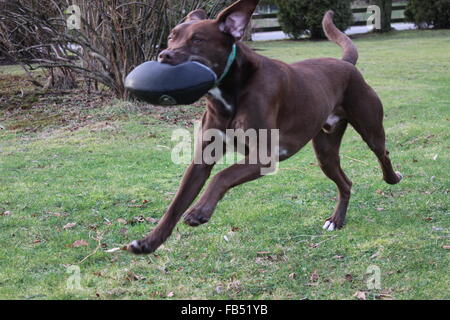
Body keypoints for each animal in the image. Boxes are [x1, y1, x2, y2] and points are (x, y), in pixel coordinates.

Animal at [128, 0, 402, 255]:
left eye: (197, 39)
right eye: (171, 36)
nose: (164, 55)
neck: (230, 90)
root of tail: (346, 64)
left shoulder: (266, 155)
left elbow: (222, 175)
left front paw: (199, 211)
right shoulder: (201, 160)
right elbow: (176, 204)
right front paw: (148, 241)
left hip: (369, 127)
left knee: (382, 152)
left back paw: (392, 178)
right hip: (326, 152)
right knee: (345, 183)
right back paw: (336, 221)